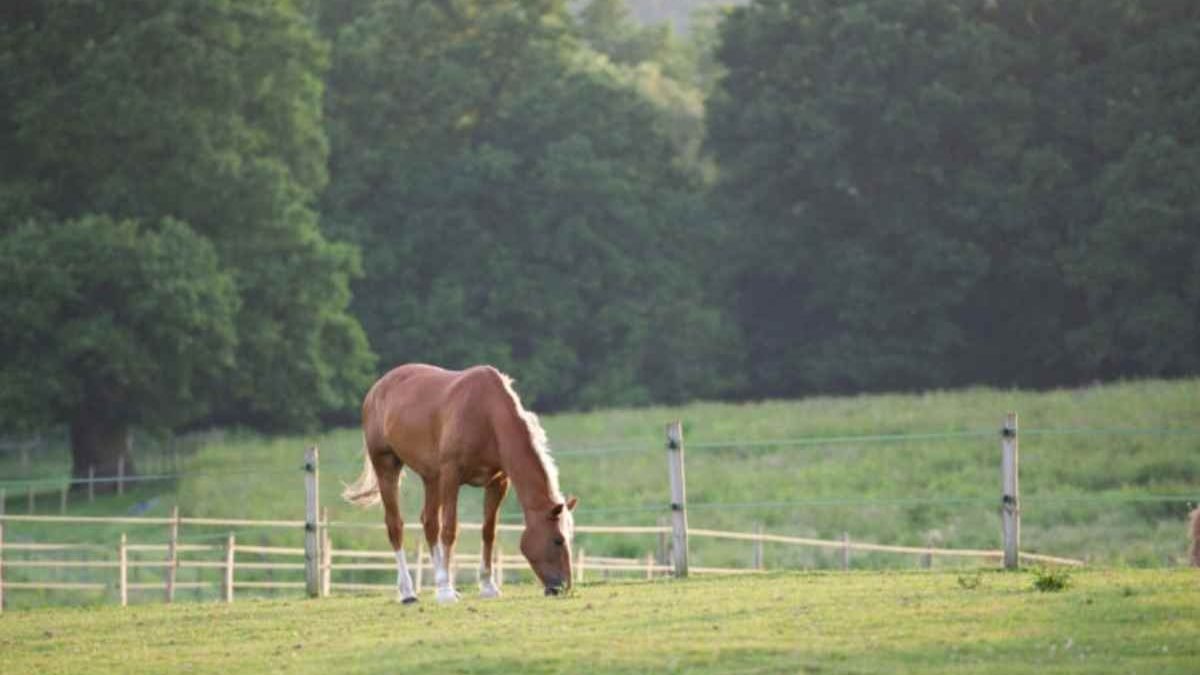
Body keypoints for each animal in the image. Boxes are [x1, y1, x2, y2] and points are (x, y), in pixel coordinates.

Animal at [342, 363, 577, 603]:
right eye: (558, 540)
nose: (563, 587)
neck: (488, 415)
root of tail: (376, 389)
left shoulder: (498, 482)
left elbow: (488, 531)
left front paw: (487, 586)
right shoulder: (451, 475)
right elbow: (450, 529)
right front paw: (445, 592)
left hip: (432, 479)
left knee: (429, 523)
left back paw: (440, 581)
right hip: (388, 467)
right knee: (395, 525)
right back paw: (409, 592)